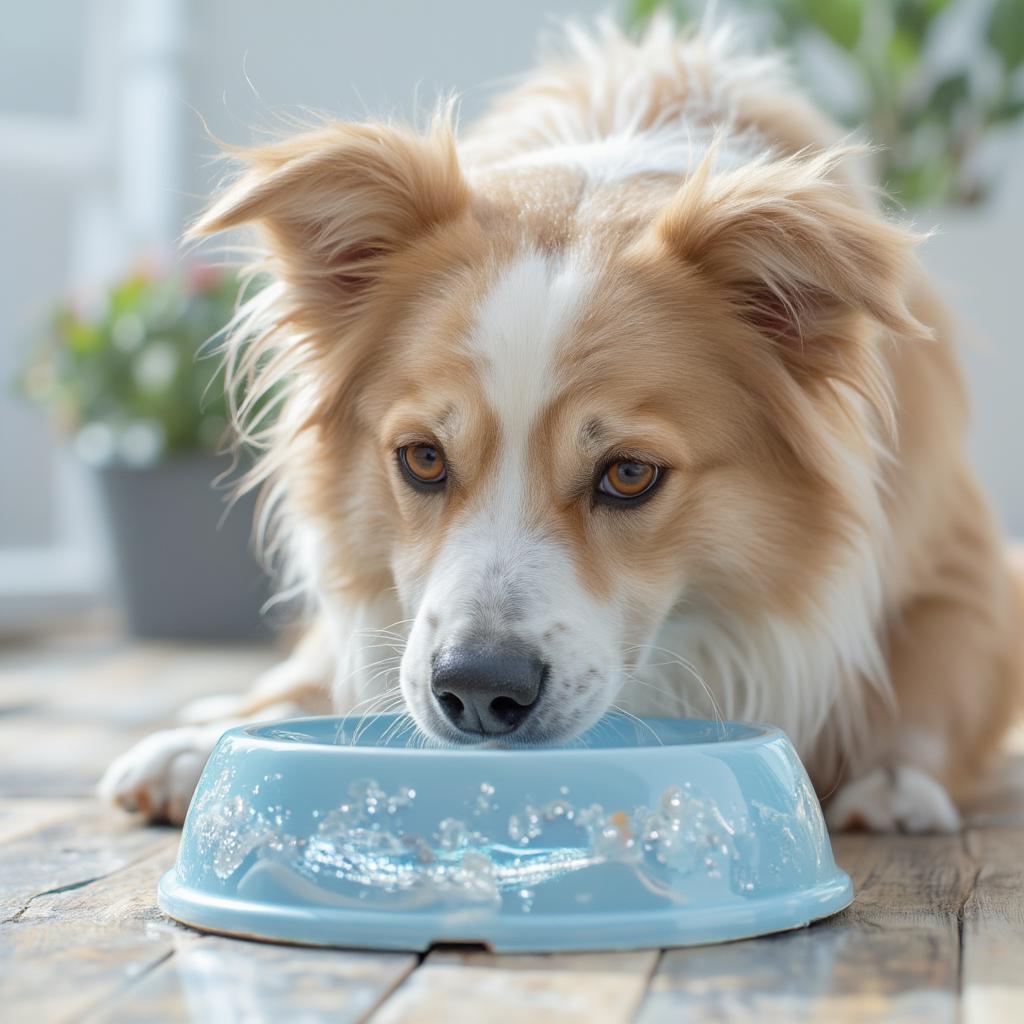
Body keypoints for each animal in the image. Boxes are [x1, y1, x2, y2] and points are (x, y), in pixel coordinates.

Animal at [97, 18, 1024, 831]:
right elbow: (328, 660)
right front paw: (202, 742)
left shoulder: (959, 562)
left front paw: (895, 778)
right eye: (422, 458)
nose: (477, 690)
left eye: (629, 474)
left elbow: (935, 678)